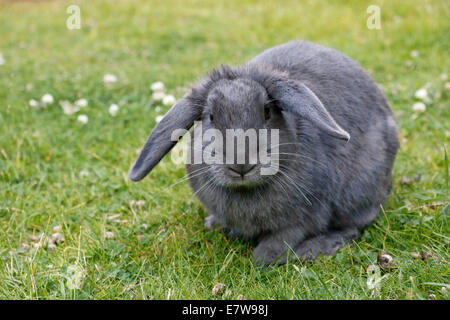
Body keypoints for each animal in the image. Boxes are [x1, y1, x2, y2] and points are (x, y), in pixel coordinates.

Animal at [128, 40, 400, 264]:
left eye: (267, 112)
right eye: (211, 117)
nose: (241, 164)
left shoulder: (304, 218)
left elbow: (285, 237)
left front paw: (263, 258)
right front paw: (216, 225)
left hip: (358, 194)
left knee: (352, 227)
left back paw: (313, 249)